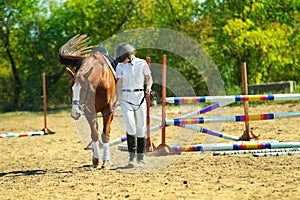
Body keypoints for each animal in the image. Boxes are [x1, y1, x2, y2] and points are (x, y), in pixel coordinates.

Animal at [59, 34, 116, 169]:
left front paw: (105, 161)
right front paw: (96, 160)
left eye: (84, 89)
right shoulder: (89, 111)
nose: (74, 113)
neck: (100, 80)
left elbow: (105, 134)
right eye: (70, 89)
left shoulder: (108, 110)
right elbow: (94, 134)